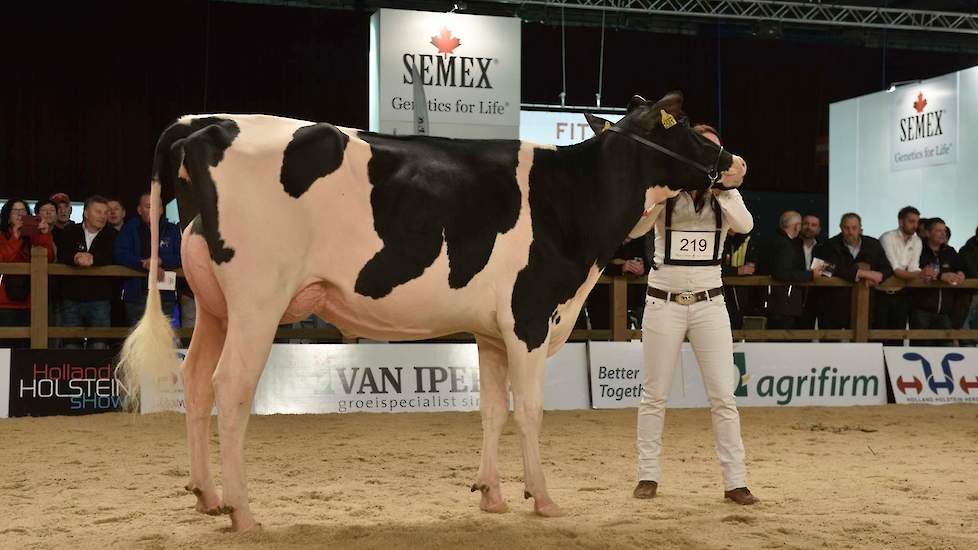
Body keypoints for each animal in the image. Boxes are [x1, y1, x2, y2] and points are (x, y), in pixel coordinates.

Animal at [124, 92, 748, 532]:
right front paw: (543, 498)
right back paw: (242, 510)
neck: (574, 200)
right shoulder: (530, 317)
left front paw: (492, 495)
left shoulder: (493, 333)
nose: (736, 159)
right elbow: (531, 412)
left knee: (194, 381)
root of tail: (204, 123)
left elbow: (493, 411)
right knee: (230, 388)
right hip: (257, 300)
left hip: (214, 305)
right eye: (688, 129)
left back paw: (206, 496)